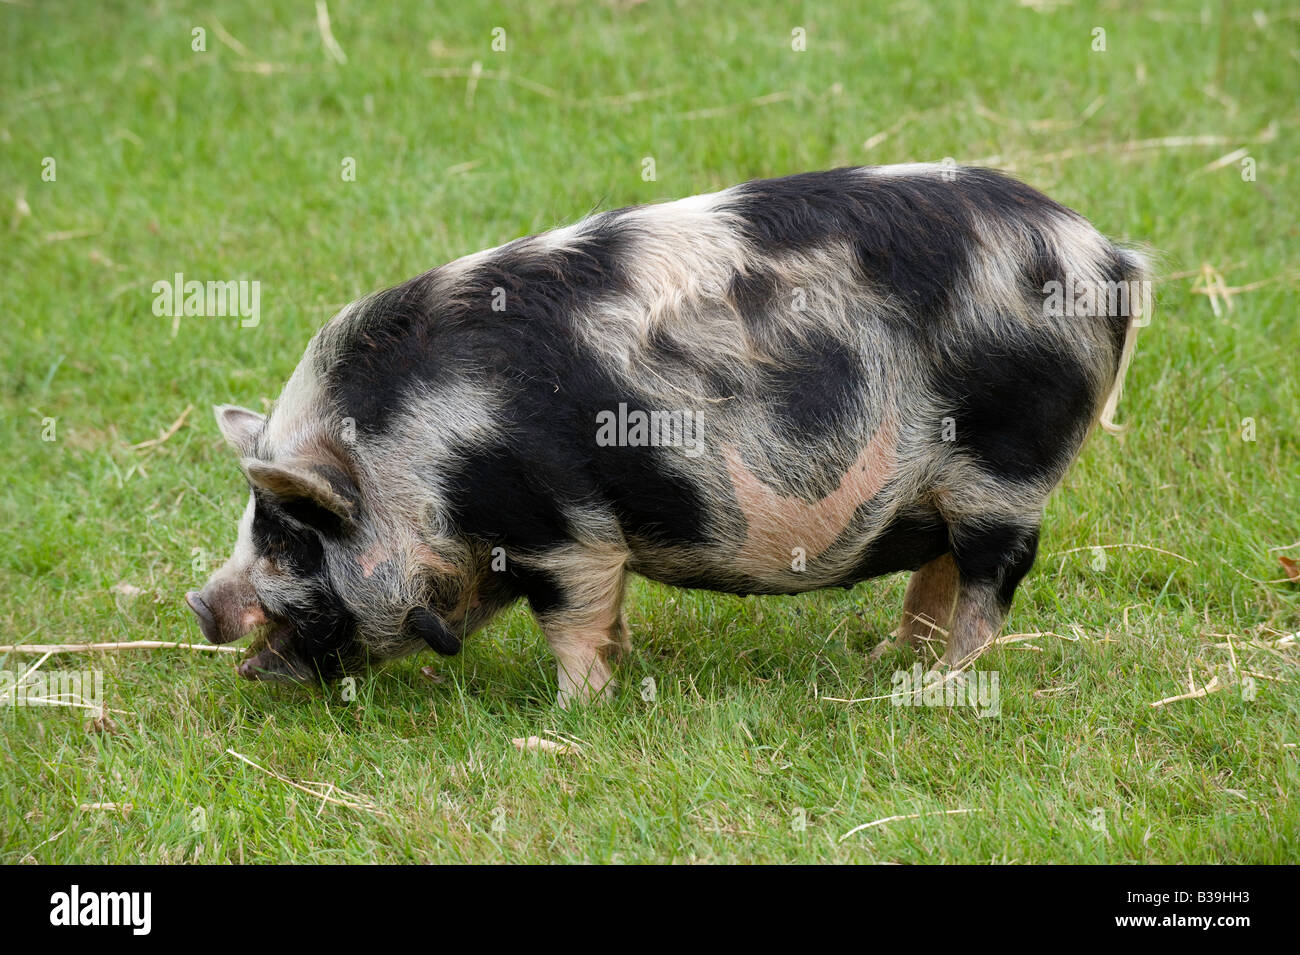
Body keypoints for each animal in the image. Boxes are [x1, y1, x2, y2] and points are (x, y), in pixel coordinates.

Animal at [185, 164, 1149, 706]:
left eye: (290, 534)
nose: (200, 603)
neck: (420, 459)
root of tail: (1108, 259)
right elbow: (603, 618)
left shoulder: (563, 531)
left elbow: (573, 622)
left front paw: (568, 715)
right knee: (940, 566)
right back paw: (886, 661)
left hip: (1008, 464)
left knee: (992, 577)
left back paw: (943, 688)